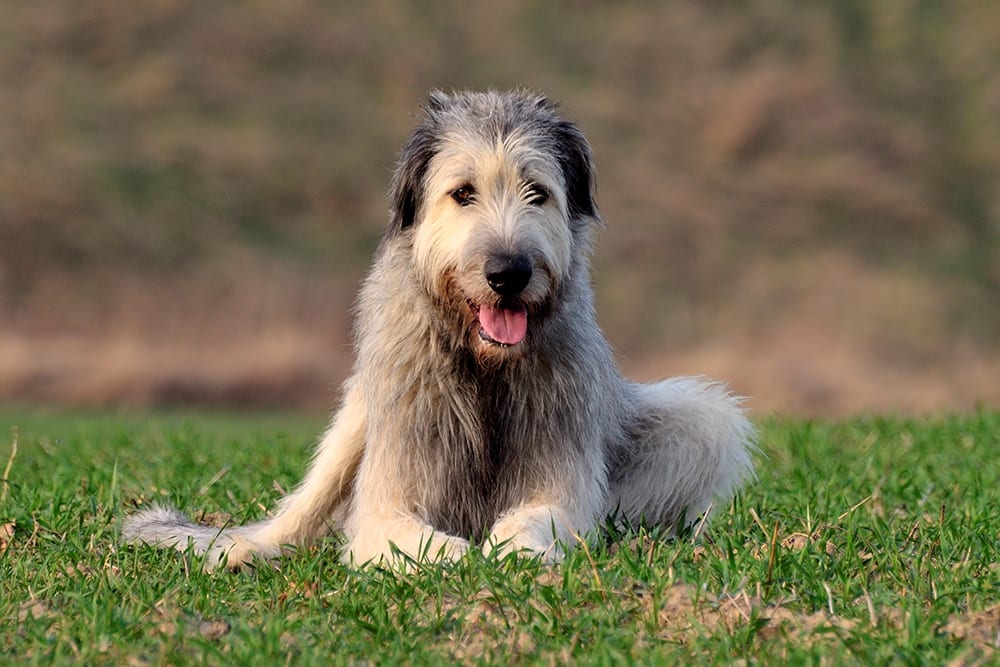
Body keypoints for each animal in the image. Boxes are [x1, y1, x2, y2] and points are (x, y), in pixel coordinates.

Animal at [121, 90, 752, 568]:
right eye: (463, 192)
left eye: (537, 191)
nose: (508, 272)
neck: (483, 362)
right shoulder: (394, 474)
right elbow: (395, 528)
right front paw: (451, 555)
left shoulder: (561, 460)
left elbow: (546, 514)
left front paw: (516, 549)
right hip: (361, 413)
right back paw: (240, 548)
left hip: (690, 420)